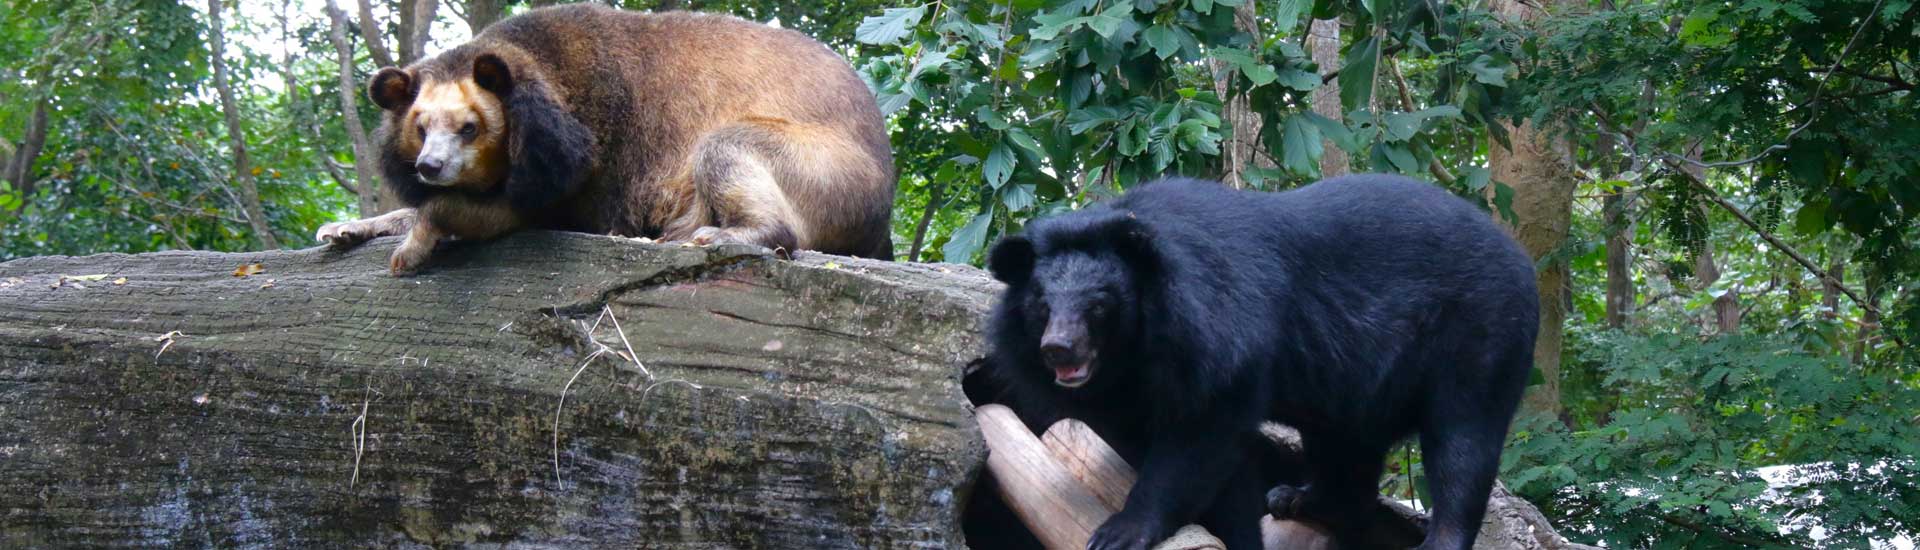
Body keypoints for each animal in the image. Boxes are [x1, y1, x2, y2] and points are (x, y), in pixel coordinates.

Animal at [314, 4, 896, 274]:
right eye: (420, 127)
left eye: (469, 127)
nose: (430, 167)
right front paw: (346, 227)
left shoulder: (592, 157)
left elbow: (514, 214)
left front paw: (414, 242)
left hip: (831, 168)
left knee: (729, 145)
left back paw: (715, 234)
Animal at [979, 175, 1539, 550]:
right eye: (1041, 305)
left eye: (1099, 305)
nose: (1059, 349)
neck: (1136, 352)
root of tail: (1521, 258)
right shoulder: (1129, 393)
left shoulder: (1221, 346)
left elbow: (1194, 445)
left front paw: (1122, 531)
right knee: (1345, 443)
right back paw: (1301, 499)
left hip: (1480, 332)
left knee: (1462, 441)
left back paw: (1438, 537)